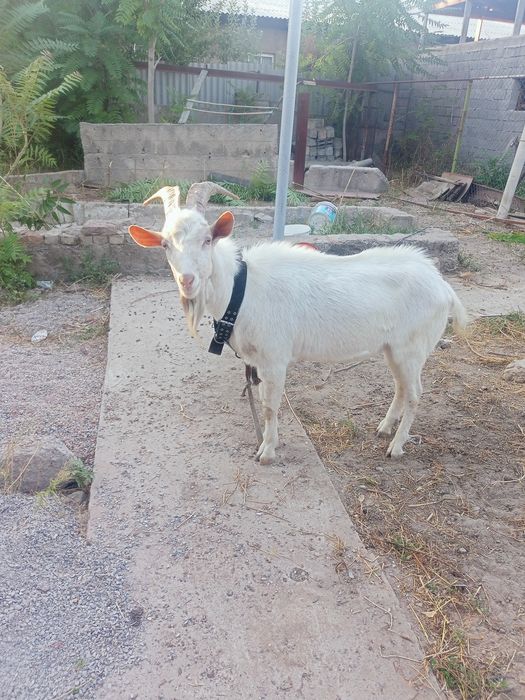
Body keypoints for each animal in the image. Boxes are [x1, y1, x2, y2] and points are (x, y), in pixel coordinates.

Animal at [129, 182, 468, 464]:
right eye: (165, 245)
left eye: (207, 239)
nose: (187, 280)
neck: (241, 288)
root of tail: (443, 287)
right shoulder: (259, 359)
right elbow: (264, 400)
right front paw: (270, 443)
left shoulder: (274, 357)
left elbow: (269, 405)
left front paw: (266, 451)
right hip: (392, 348)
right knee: (401, 386)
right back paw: (384, 428)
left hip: (413, 347)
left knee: (415, 392)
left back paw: (396, 447)